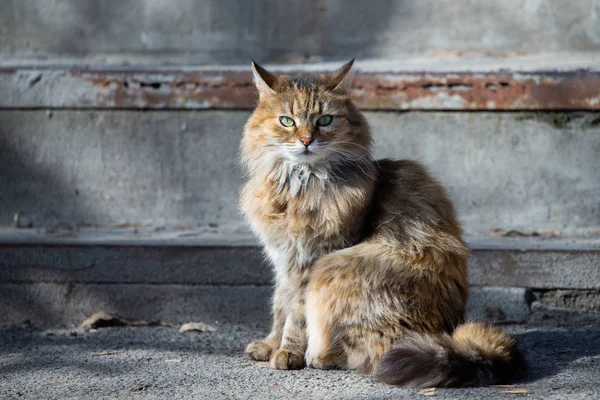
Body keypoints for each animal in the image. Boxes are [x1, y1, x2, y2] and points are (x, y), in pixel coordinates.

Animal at [237, 59, 528, 388]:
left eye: (325, 120)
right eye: (286, 121)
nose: (306, 141)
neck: (299, 184)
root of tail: (446, 335)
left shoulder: (311, 260)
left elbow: (295, 315)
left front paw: (287, 352)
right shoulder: (283, 260)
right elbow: (279, 306)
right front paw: (269, 345)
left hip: (333, 270)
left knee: (362, 355)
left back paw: (317, 356)